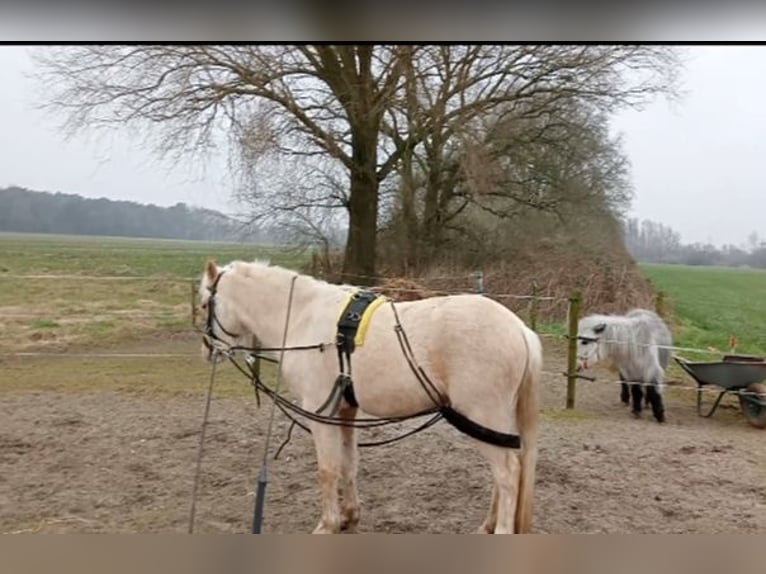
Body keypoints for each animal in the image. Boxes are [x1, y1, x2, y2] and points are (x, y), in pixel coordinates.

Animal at [198, 260, 544, 536]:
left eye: (204, 304)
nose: (207, 349)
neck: (301, 317)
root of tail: (519, 330)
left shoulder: (320, 412)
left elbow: (328, 469)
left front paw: (327, 524)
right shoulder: (345, 411)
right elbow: (349, 463)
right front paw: (349, 517)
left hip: (480, 415)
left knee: (508, 474)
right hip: (490, 423)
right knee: (505, 472)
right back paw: (487, 525)